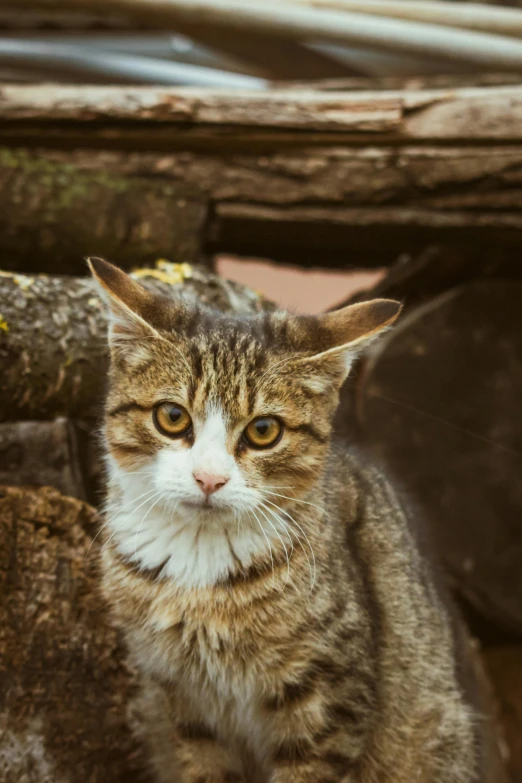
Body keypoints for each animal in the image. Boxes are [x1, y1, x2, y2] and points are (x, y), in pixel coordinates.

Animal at [88, 258, 480, 783]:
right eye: (172, 416)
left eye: (263, 430)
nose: (209, 478)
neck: (199, 568)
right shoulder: (183, 702)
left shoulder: (329, 698)